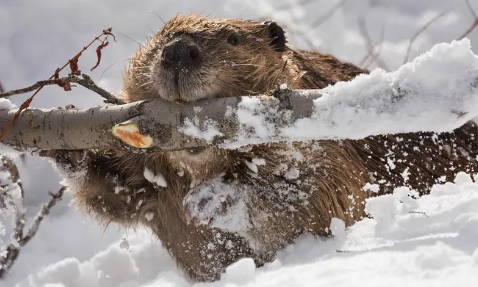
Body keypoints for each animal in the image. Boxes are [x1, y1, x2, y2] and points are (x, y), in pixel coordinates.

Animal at [45, 14, 478, 282]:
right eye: (158, 41)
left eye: (233, 38)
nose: (178, 52)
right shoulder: (151, 180)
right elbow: (117, 194)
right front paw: (66, 141)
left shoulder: (331, 146)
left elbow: (321, 192)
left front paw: (212, 200)